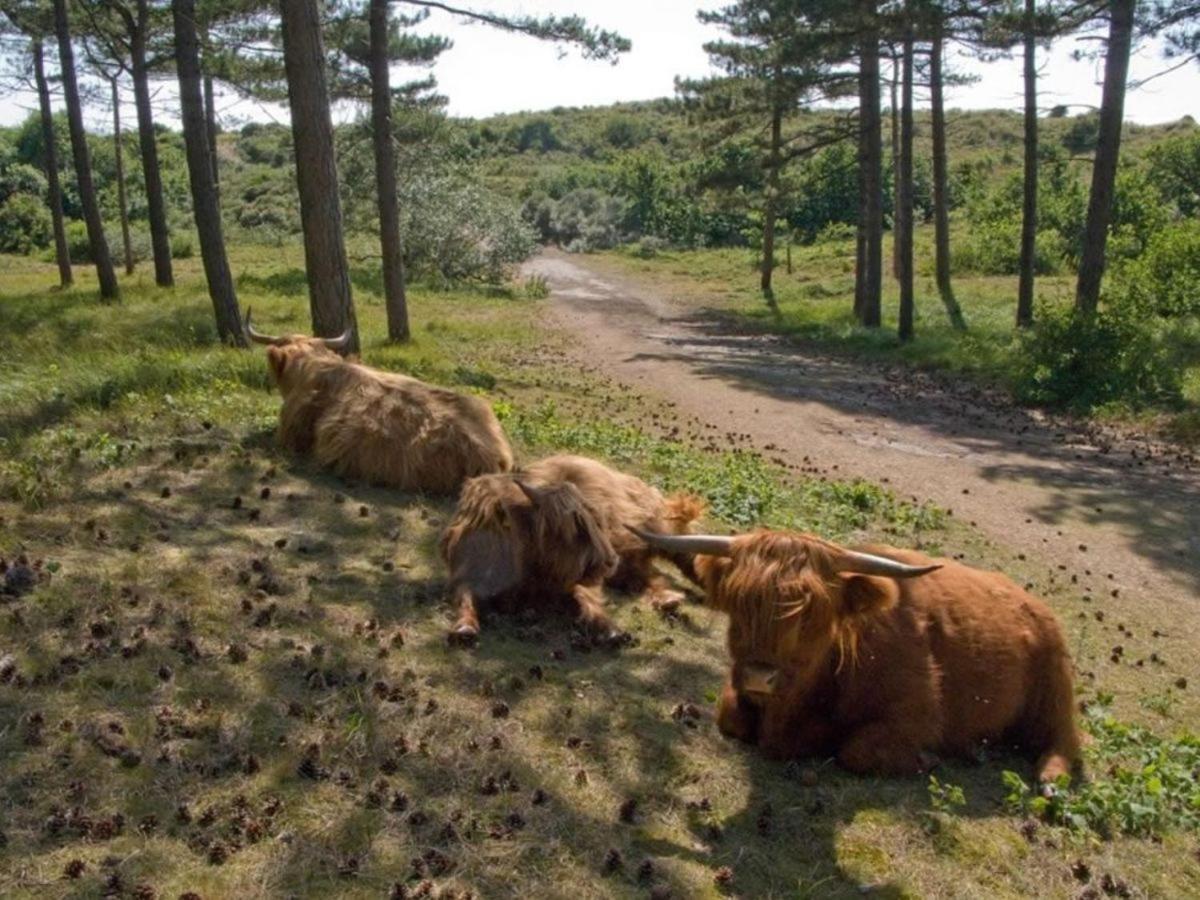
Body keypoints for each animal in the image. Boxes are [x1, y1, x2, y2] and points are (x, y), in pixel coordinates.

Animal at [441, 458, 700, 648]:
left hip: (652, 528)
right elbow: (465, 597)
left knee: (681, 552)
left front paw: (610, 630)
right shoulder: (465, 573)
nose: (610, 561)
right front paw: (464, 629)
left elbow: (586, 596)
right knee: (645, 574)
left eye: (596, 521)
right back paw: (668, 600)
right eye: (576, 528)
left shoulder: (575, 579)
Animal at [638, 525, 1080, 787]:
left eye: (813, 613)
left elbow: (856, 750)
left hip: (1055, 690)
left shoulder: (918, 713)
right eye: (738, 603)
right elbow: (730, 717)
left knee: (1064, 738)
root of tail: (1033, 604)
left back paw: (1048, 777)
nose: (760, 676)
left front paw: (927, 760)